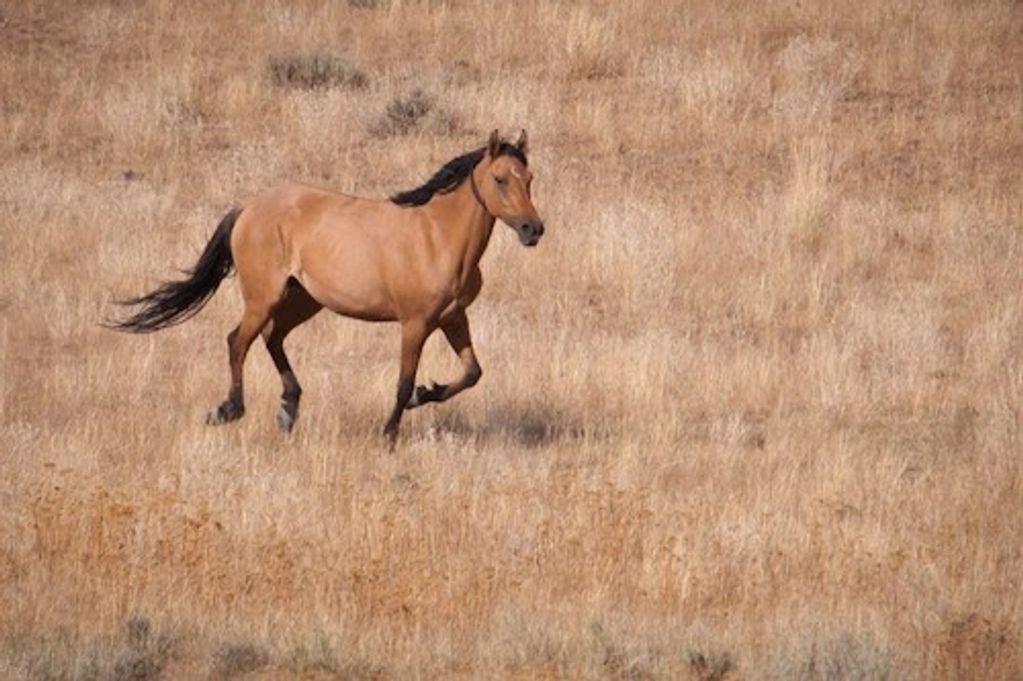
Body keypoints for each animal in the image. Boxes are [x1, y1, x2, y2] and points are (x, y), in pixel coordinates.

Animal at [110, 130, 545, 442]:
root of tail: (248, 207)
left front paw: (426, 394)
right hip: (263, 298)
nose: (532, 229)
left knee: (271, 338)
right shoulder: (415, 323)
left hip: (303, 300)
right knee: (238, 341)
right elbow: (403, 382)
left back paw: (288, 409)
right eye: (500, 178)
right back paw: (229, 409)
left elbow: (472, 373)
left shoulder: (453, 317)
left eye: (529, 178)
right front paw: (390, 433)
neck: (437, 237)